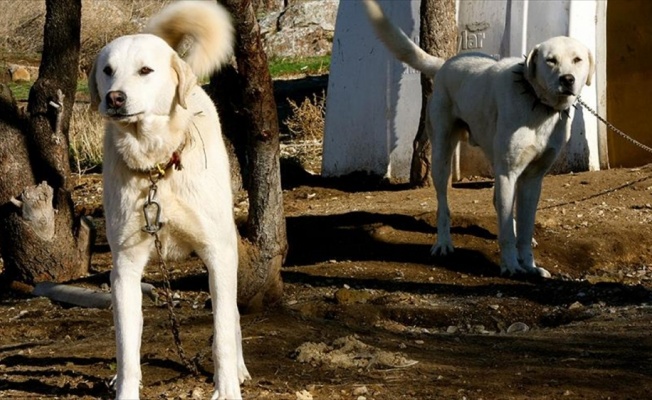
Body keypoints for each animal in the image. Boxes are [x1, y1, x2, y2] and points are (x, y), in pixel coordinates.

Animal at [90, 1, 251, 398]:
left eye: (145, 70)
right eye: (108, 71)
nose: (114, 98)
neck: (156, 166)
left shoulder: (218, 254)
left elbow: (223, 332)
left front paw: (226, 388)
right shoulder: (125, 265)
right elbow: (126, 343)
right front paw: (125, 389)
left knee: (233, 316)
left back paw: (239, 370)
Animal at [364, 0, 592, 276]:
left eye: (577, 59)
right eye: (551, 61)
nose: (567, 79)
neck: (535, 102)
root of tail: (446, 63)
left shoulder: (532, 180)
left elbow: (524, 229)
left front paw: (530, 265)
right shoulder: (508, 173)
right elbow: (506, 234)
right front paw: (511, 266)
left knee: (498, 205)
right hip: (441, 158)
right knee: (443, 206)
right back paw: (443, 243)